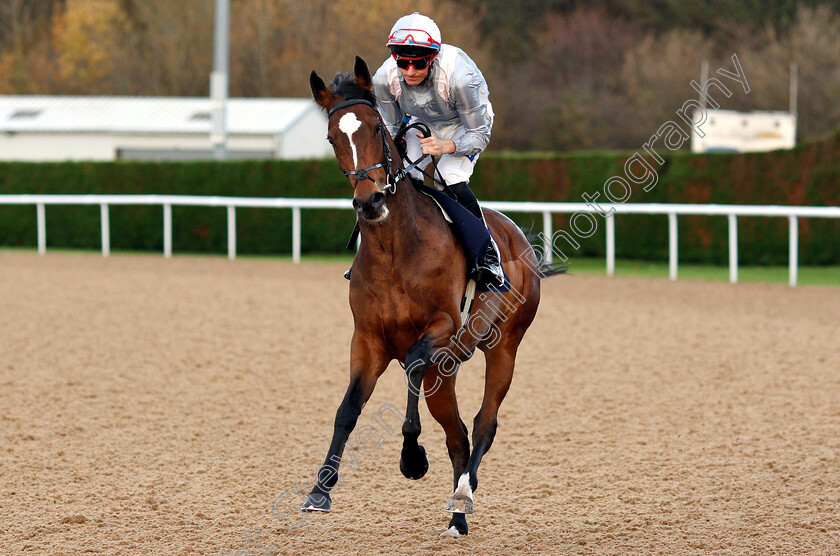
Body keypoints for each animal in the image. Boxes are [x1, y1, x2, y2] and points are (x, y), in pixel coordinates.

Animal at [302, 56, 564, 540]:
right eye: (332, 137)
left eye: (374, 128)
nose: (370, 201)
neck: (394, 249)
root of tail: (520, 240)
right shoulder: (367, 339)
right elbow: (347, 409)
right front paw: (319, 491)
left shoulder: (441, 329)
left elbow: (414, 363)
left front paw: (412, 459)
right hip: (448, 372)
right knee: (457, 434)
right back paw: (457, 517)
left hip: (504, 345)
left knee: (483, 424)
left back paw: (463, 496)